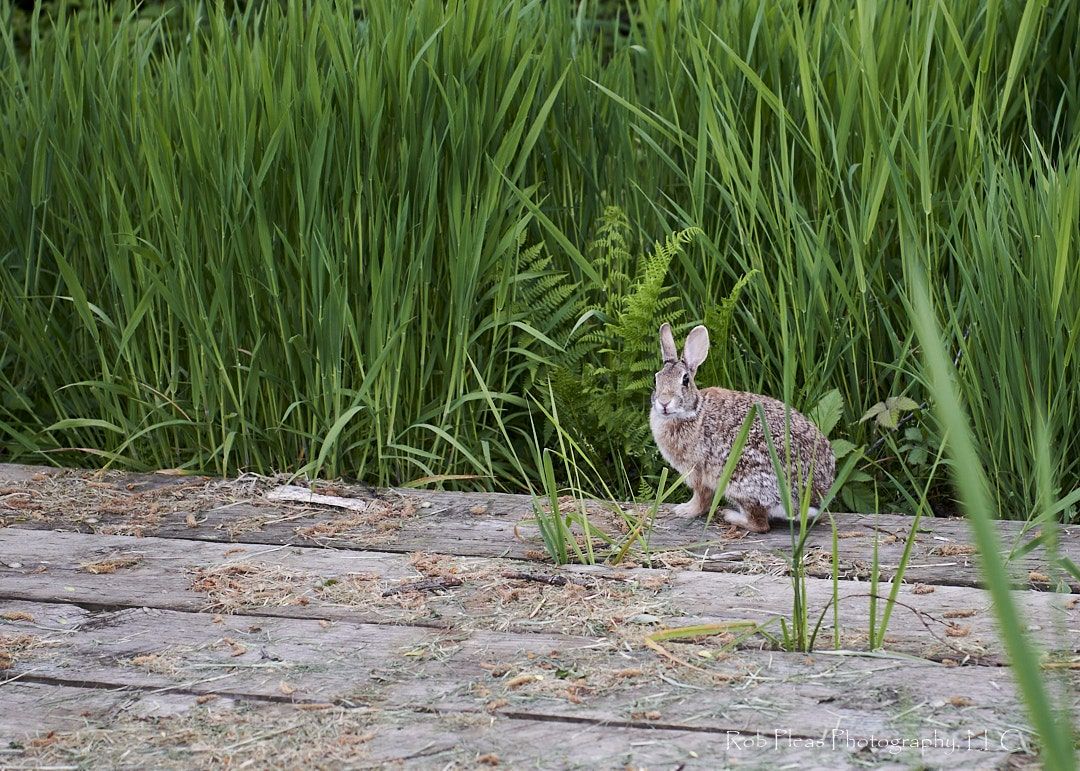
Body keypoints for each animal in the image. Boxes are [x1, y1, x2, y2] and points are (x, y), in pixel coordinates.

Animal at [650, 323, 835, 533]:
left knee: (760, 524)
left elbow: (701, 498)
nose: (664, 403)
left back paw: (730, 515)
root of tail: (809, 502)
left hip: (739, 480)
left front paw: (685, 510)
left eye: (685, 380)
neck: (694, 411)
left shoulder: (698, 472)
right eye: (656, 379)